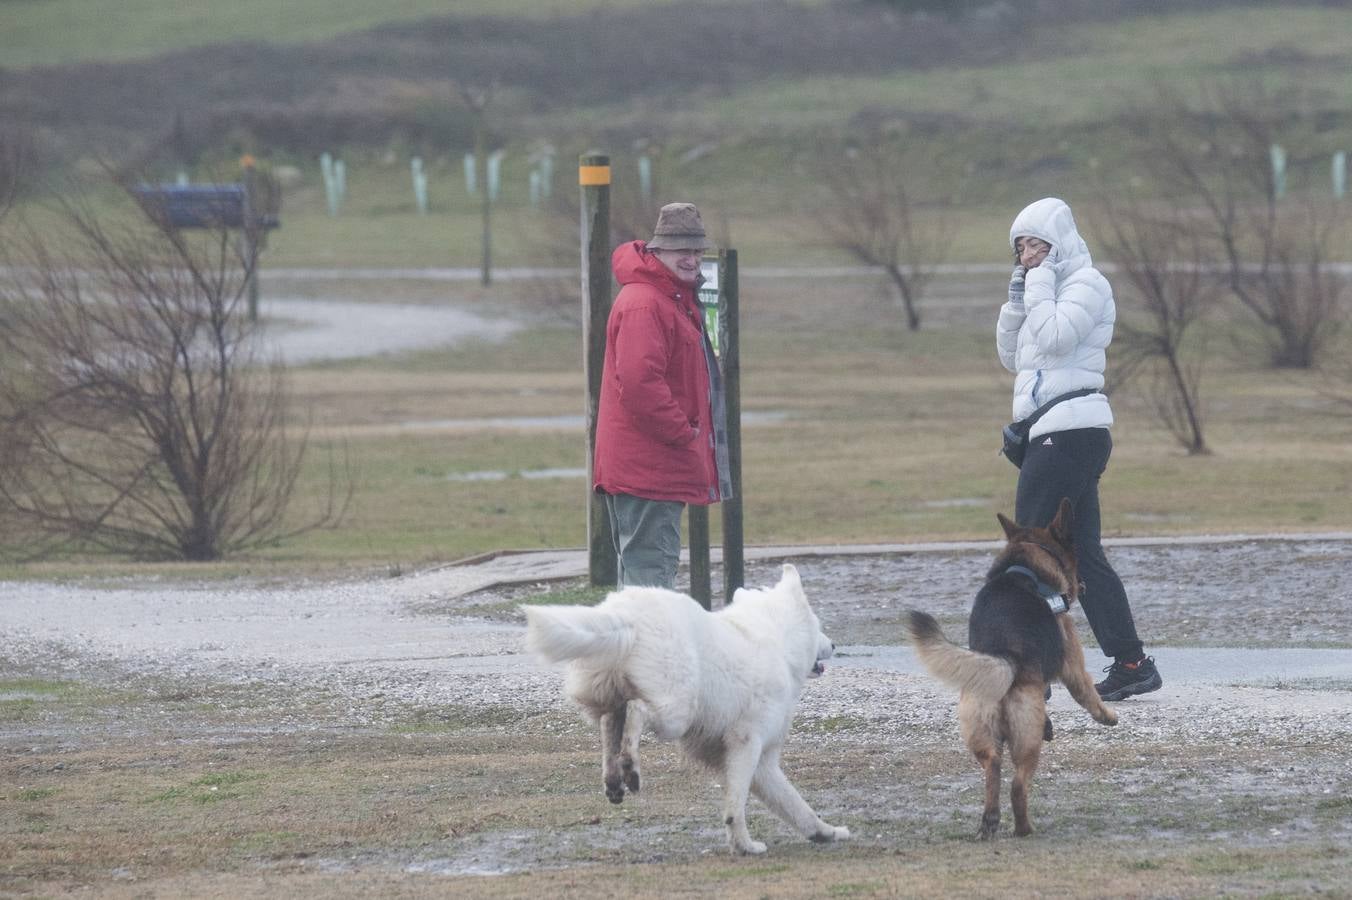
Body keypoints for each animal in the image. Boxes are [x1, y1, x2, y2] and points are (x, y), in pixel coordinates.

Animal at [521, 564, 849, 854]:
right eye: (818, 625)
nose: (834, 645)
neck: (776, 639)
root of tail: (625, 612)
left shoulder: (763, 763)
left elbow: (796, 805)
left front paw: (825, 832)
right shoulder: (746, 745)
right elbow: (737, 805)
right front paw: (744, 845)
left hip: (622, 698)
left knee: (610, 722)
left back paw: (614, 779)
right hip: (676, 712)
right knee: (636, 711)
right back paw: (630, 768)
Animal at [908, 497, 1119, 832]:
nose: (1082, 585)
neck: (1025, 566)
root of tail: (1003, 658)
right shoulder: (1072, 662)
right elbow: (1087, 693)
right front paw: (1108, 716)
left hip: (979, 733)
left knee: (992, 766)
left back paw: (990, 821)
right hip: (1027, 742)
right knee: (1018, 786)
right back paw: (1024, 829)